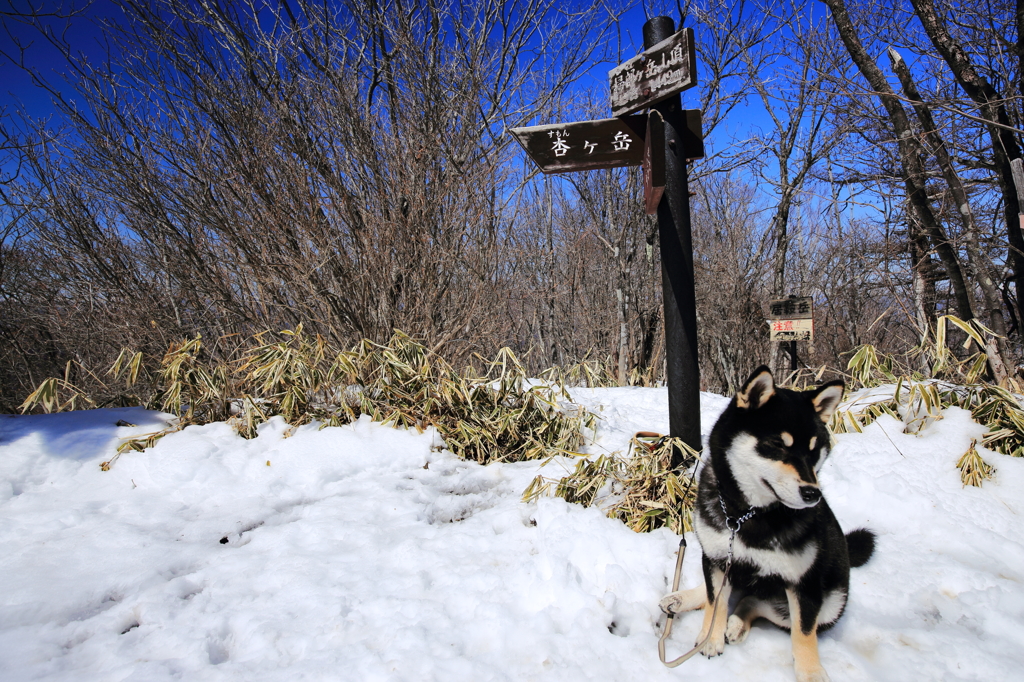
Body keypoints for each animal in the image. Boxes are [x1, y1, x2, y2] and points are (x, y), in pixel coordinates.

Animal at [663, 366, 872, 679]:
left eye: (814, 451)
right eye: (777, 445)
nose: (812, 493)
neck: (745, 516)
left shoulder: (803, 582)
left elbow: (803, 633)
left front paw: (810, 672)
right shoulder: (717, 557)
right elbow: (716, 601)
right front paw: (710, 637)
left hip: (832, 601)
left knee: (756, 604)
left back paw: (737, 624)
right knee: (720, 593)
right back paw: (683, 600)